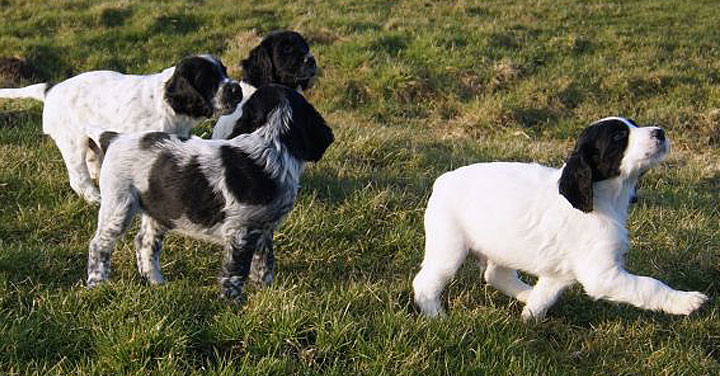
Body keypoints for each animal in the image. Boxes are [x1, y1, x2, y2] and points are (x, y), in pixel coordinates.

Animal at [0, 54, 245, 204]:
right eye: (207, 80)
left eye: (224, 72)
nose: (237, 89)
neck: (168, 103)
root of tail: (51, 90)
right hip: (72, 141)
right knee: (78, 177)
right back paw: (95, 198)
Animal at [414, 117, 704, 320]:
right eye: (619, 136)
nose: (660, 132)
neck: (604, 198)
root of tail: (442, 180)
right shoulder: (602, 274)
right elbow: (649, 285)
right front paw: (685, 301)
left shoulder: (559, 274)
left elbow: (544, 297)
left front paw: (530, 317)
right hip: (449, 248)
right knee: (425, 282)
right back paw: (436, 316)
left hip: (501, 243)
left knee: (496, 275)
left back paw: (525, 293)